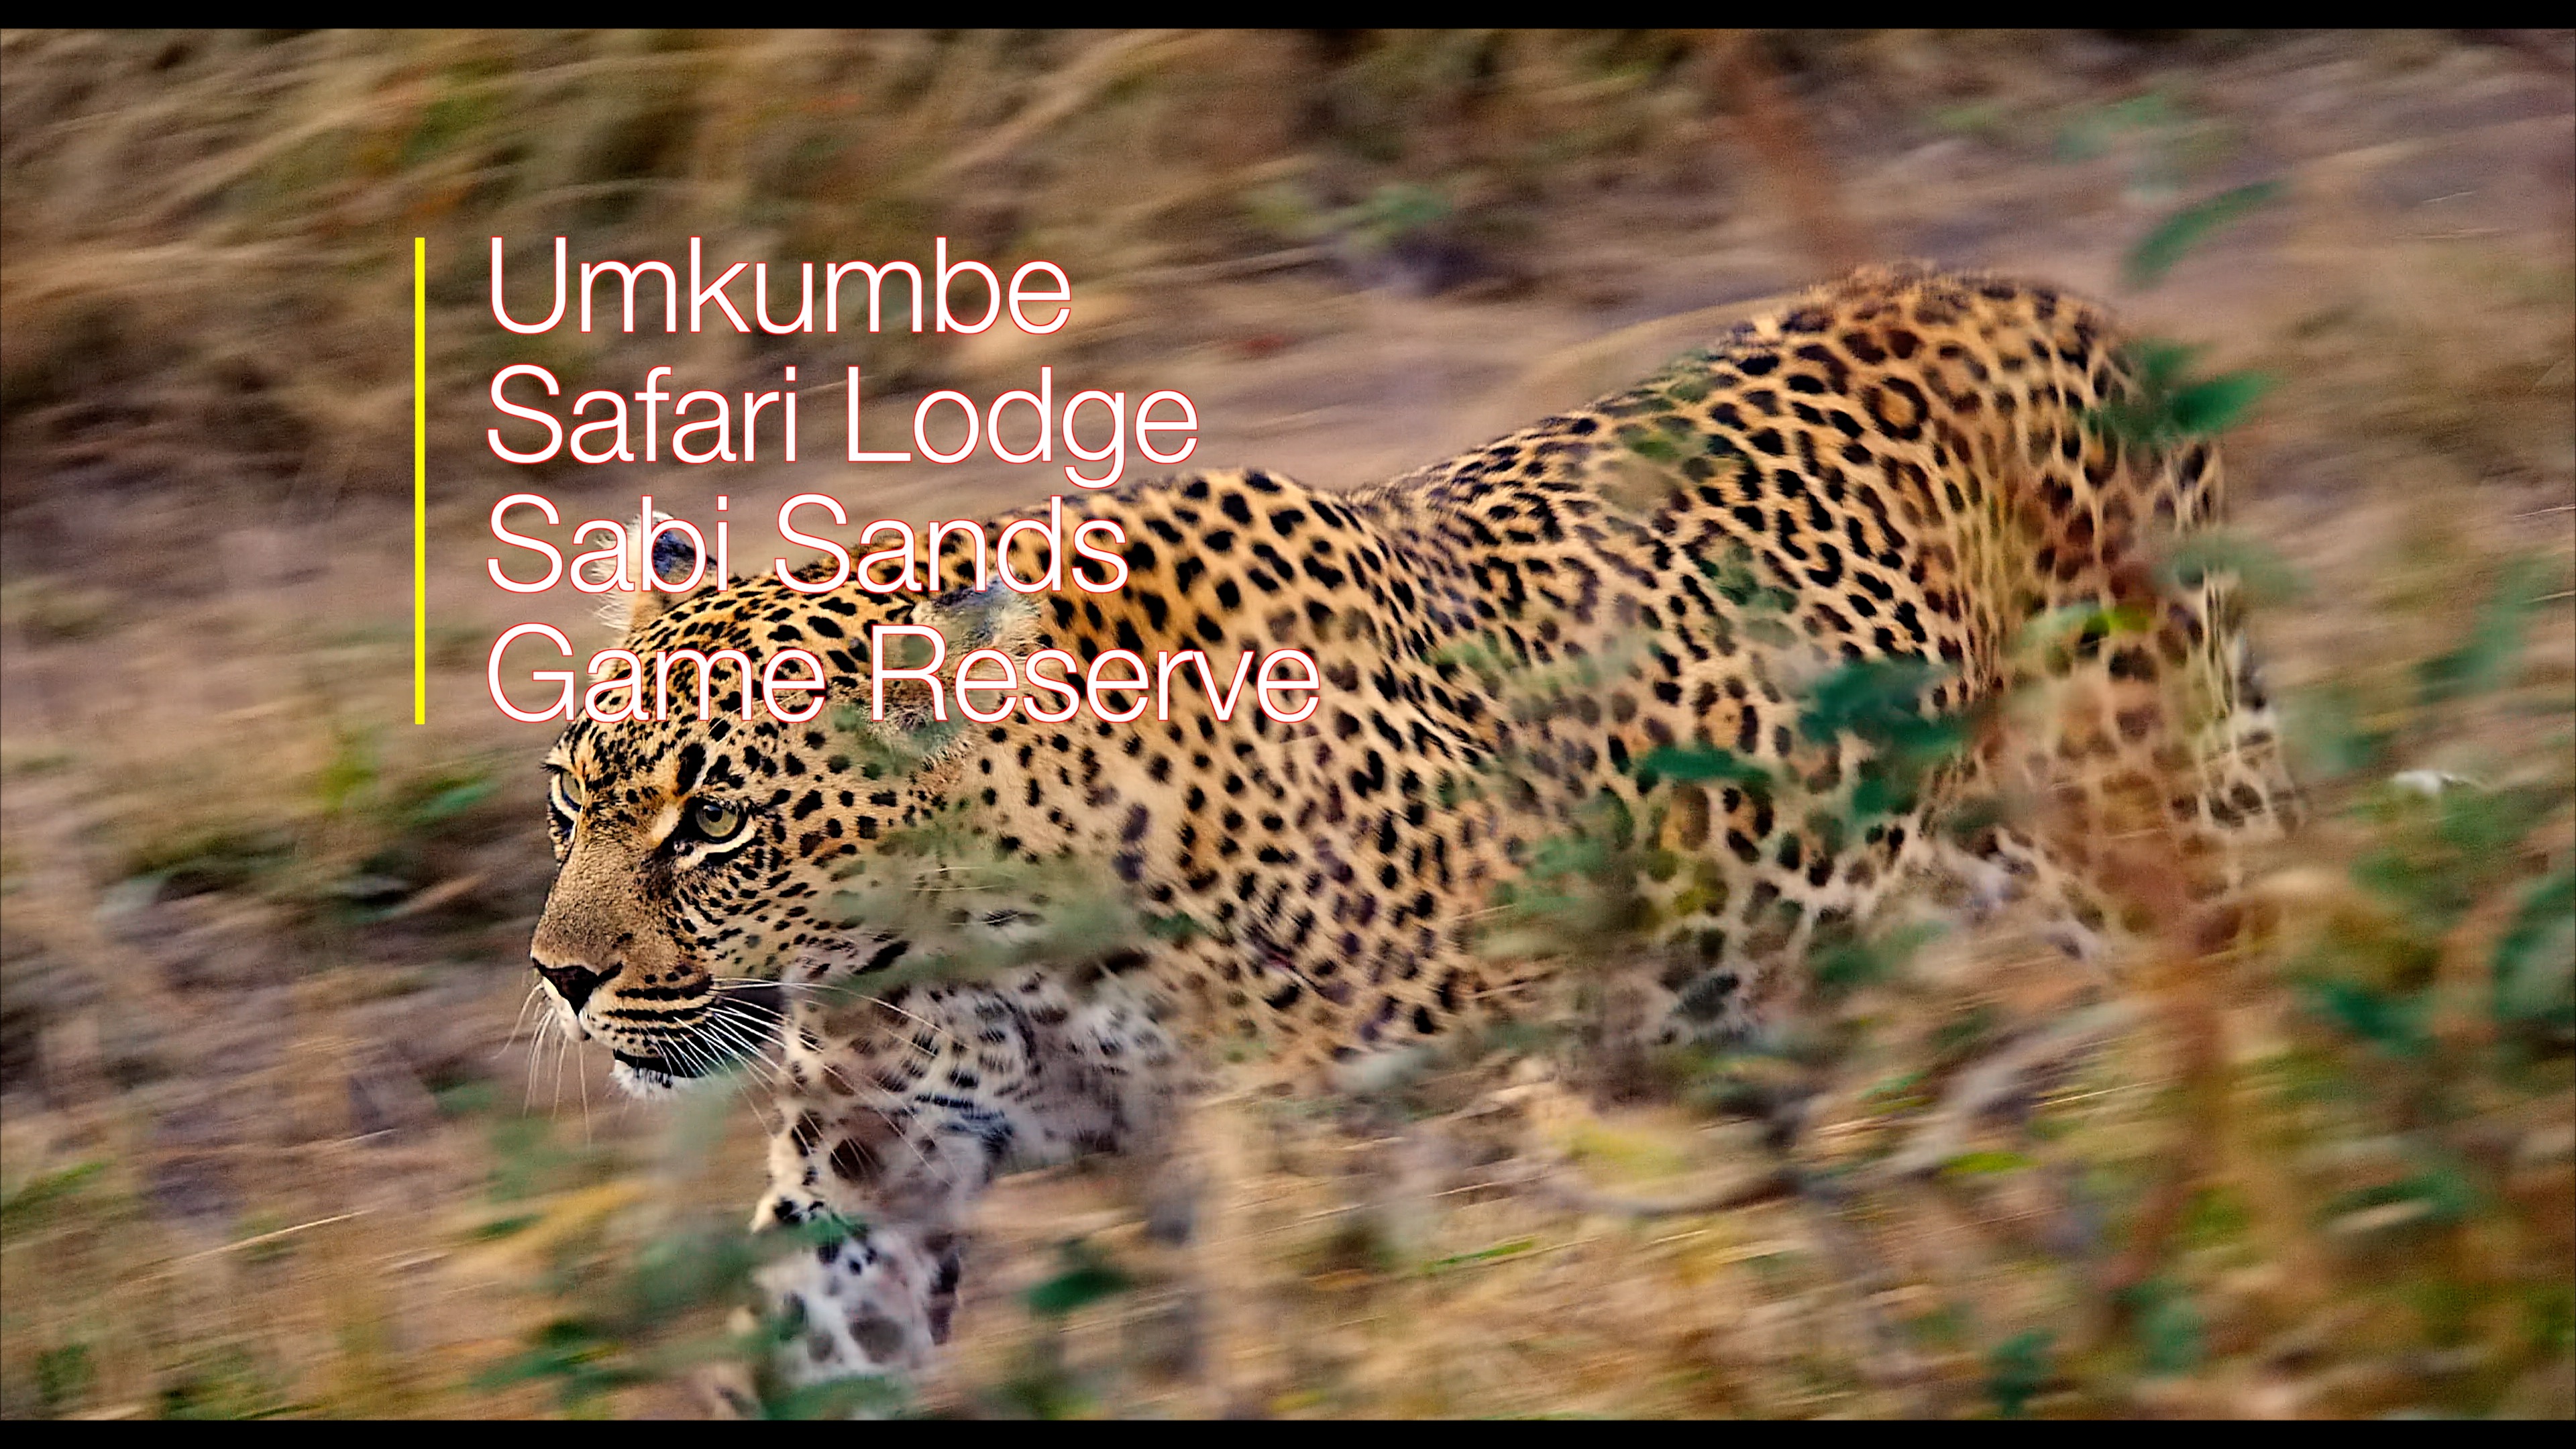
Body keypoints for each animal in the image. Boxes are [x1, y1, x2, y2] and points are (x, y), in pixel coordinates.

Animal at [523, 264, 2299, 1398]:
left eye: (713, 817)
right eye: (570, 801)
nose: (558, 977)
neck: (984, 940)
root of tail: (2037, 298)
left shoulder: (1379, 1155)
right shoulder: (870, 1178)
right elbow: (802, 1359)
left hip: (2165, 817)